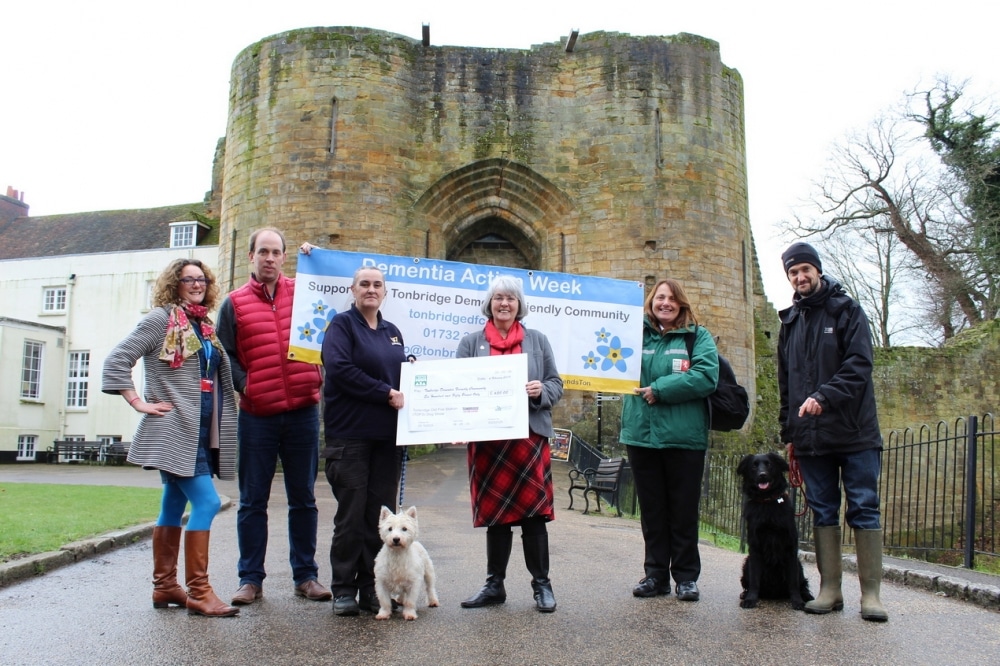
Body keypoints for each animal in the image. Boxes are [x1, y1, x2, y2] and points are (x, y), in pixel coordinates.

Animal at [736, 452, 812, 608]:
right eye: (754, 466)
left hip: (799, 564)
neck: (767, 502)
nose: (762, 475)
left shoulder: (790, 547)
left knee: (801, 584)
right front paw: (750, 599)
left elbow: (793, 582)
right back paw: (745, 594)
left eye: (769, 464)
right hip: (747, 562)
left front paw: (797, 601)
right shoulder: (755, 547)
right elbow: (754, 580)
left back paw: (806, 597)